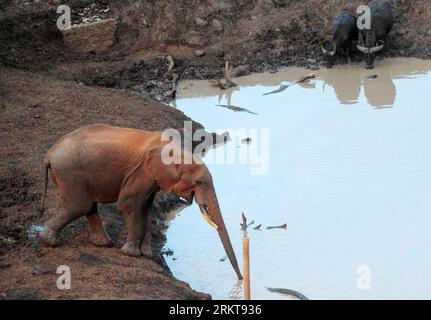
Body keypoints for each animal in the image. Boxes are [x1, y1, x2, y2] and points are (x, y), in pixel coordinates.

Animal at [37, 124, 243, 278]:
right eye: (199, 182)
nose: (241, 279)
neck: (176, 149)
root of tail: (48, 154)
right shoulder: (142, 172)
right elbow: (128, 205)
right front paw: (132, 254)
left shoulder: (152, 178)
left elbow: (147, 209)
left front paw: (147, 254)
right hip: (69, 173)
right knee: (81, 205)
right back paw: (49, 240)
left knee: (88, 206)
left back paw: (103, 244)